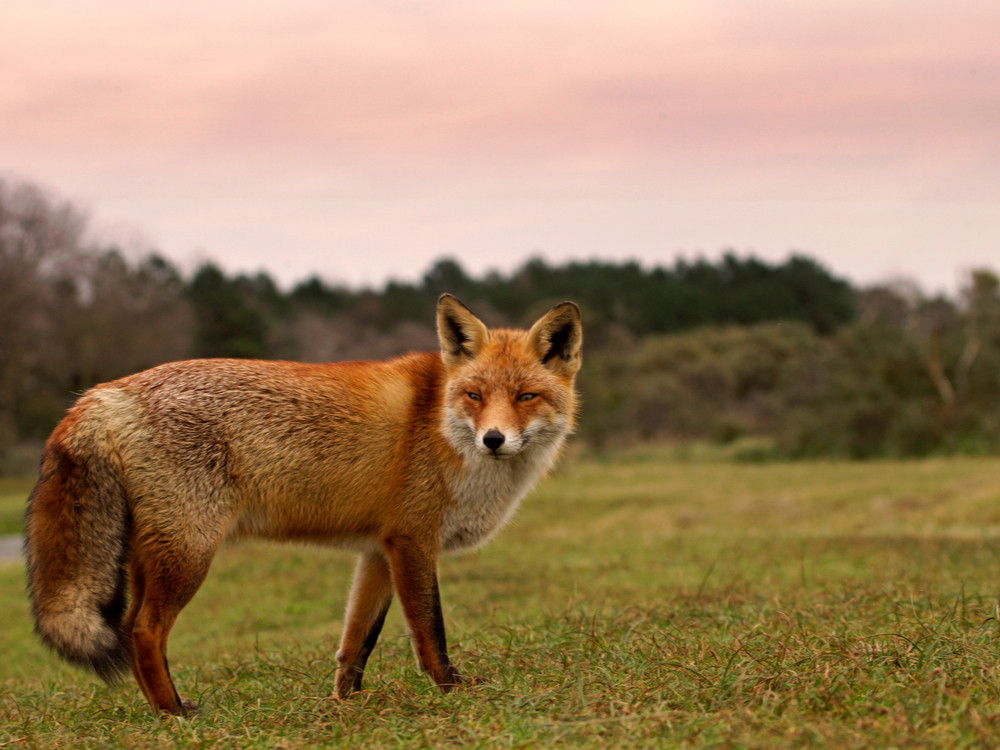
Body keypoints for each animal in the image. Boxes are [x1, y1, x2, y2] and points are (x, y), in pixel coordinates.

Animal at [23, 294, 580, 716]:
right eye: (474, 395)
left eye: (526, 396)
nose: (493, 439)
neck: (441, 425)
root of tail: (103, 392)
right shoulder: (414, 541)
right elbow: (430, 631)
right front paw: (450, 690)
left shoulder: (379, 551)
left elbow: (357, 641)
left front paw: (345, 704)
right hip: (188, 554)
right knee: (143, 631)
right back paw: (174, 713)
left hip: (155, 556)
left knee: (134, 630)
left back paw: (164, 709)